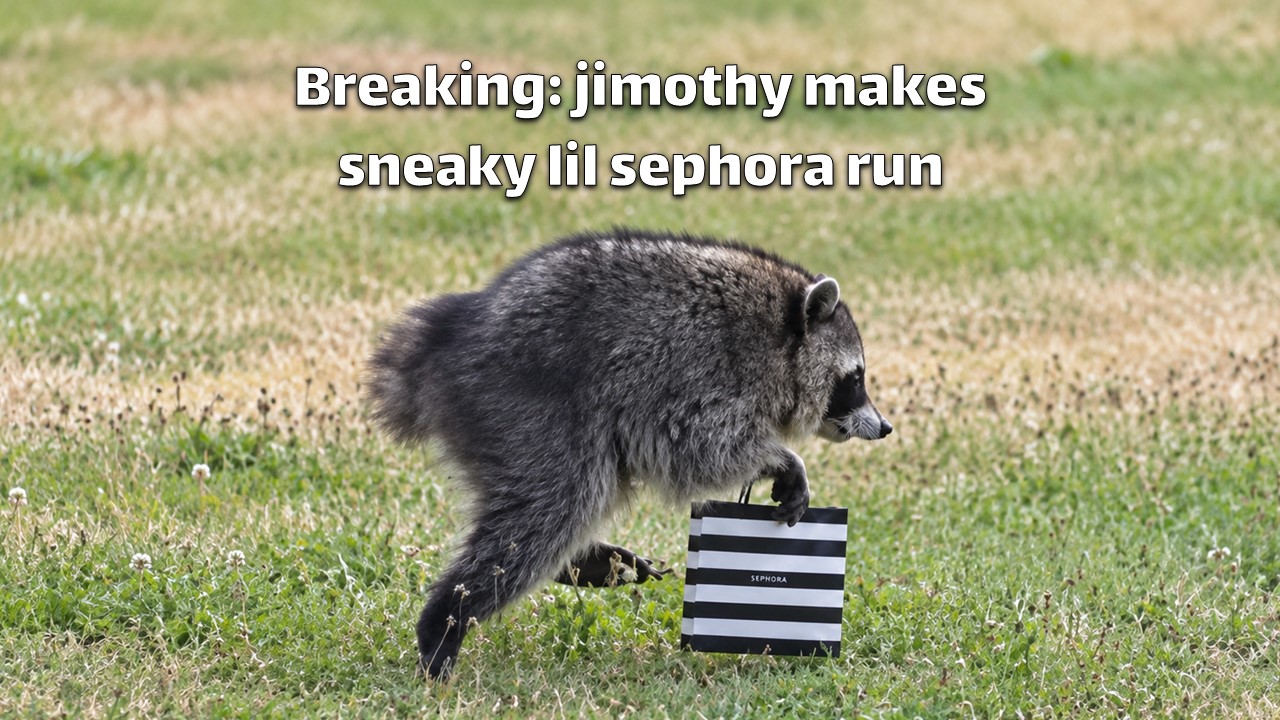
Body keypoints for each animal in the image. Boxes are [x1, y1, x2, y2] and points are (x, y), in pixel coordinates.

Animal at [365, 229, 891, 680]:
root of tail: (453, 335)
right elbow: (702, 446)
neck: (780, 334)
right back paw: (447, 619)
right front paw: (780, 459)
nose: (885, 427)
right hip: (528, 403)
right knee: (551, 506)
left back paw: (577, 560)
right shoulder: (704, 370)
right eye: (856, 378)